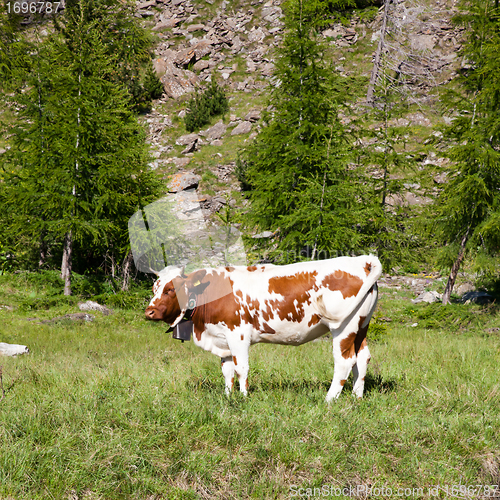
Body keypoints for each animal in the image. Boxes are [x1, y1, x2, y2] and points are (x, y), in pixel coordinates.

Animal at [146, 256, 382, 400]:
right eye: (154, 287)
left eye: (170, 289)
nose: (149, 311)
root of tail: (361, 260)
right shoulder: (222, 338)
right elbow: (227, 370)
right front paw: (227, 397)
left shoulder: (238, 334)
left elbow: (241, 368)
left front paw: (243, 398)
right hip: (362, 325)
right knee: (362, 357)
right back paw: (356, 397)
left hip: (343, 327)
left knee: (344, 361)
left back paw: (329, 399)